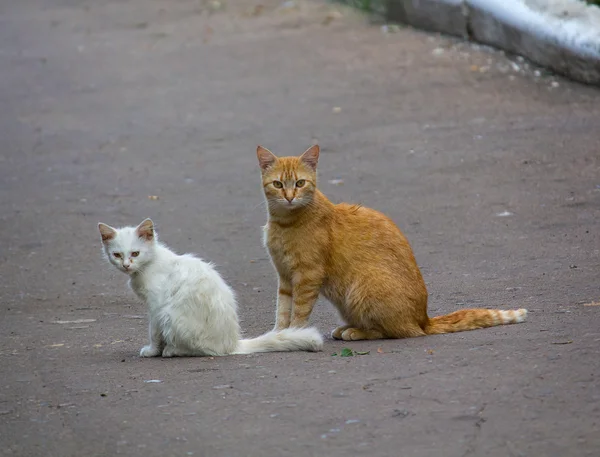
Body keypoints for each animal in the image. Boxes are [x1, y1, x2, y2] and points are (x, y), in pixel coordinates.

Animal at [98, 218, 324, 356]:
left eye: (135, 253)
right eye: (117, 255)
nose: (126, 265)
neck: (149, 264)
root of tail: (232, 343)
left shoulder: (155, 307)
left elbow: (153, 332)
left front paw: (152, 351)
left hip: (170, 316)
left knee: (202, 350)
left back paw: (172, 350)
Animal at [255, 144, 528, 340]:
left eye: (300, 183)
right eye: (278, 184)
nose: (289, 197)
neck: (285, 222)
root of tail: (423, 319)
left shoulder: (307, 276)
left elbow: (299, 311)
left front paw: (294, 334)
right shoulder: (285, 277)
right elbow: (282, 309)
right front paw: (279, 333)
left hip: (362, 289)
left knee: (390, 332)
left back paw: (355, 332)